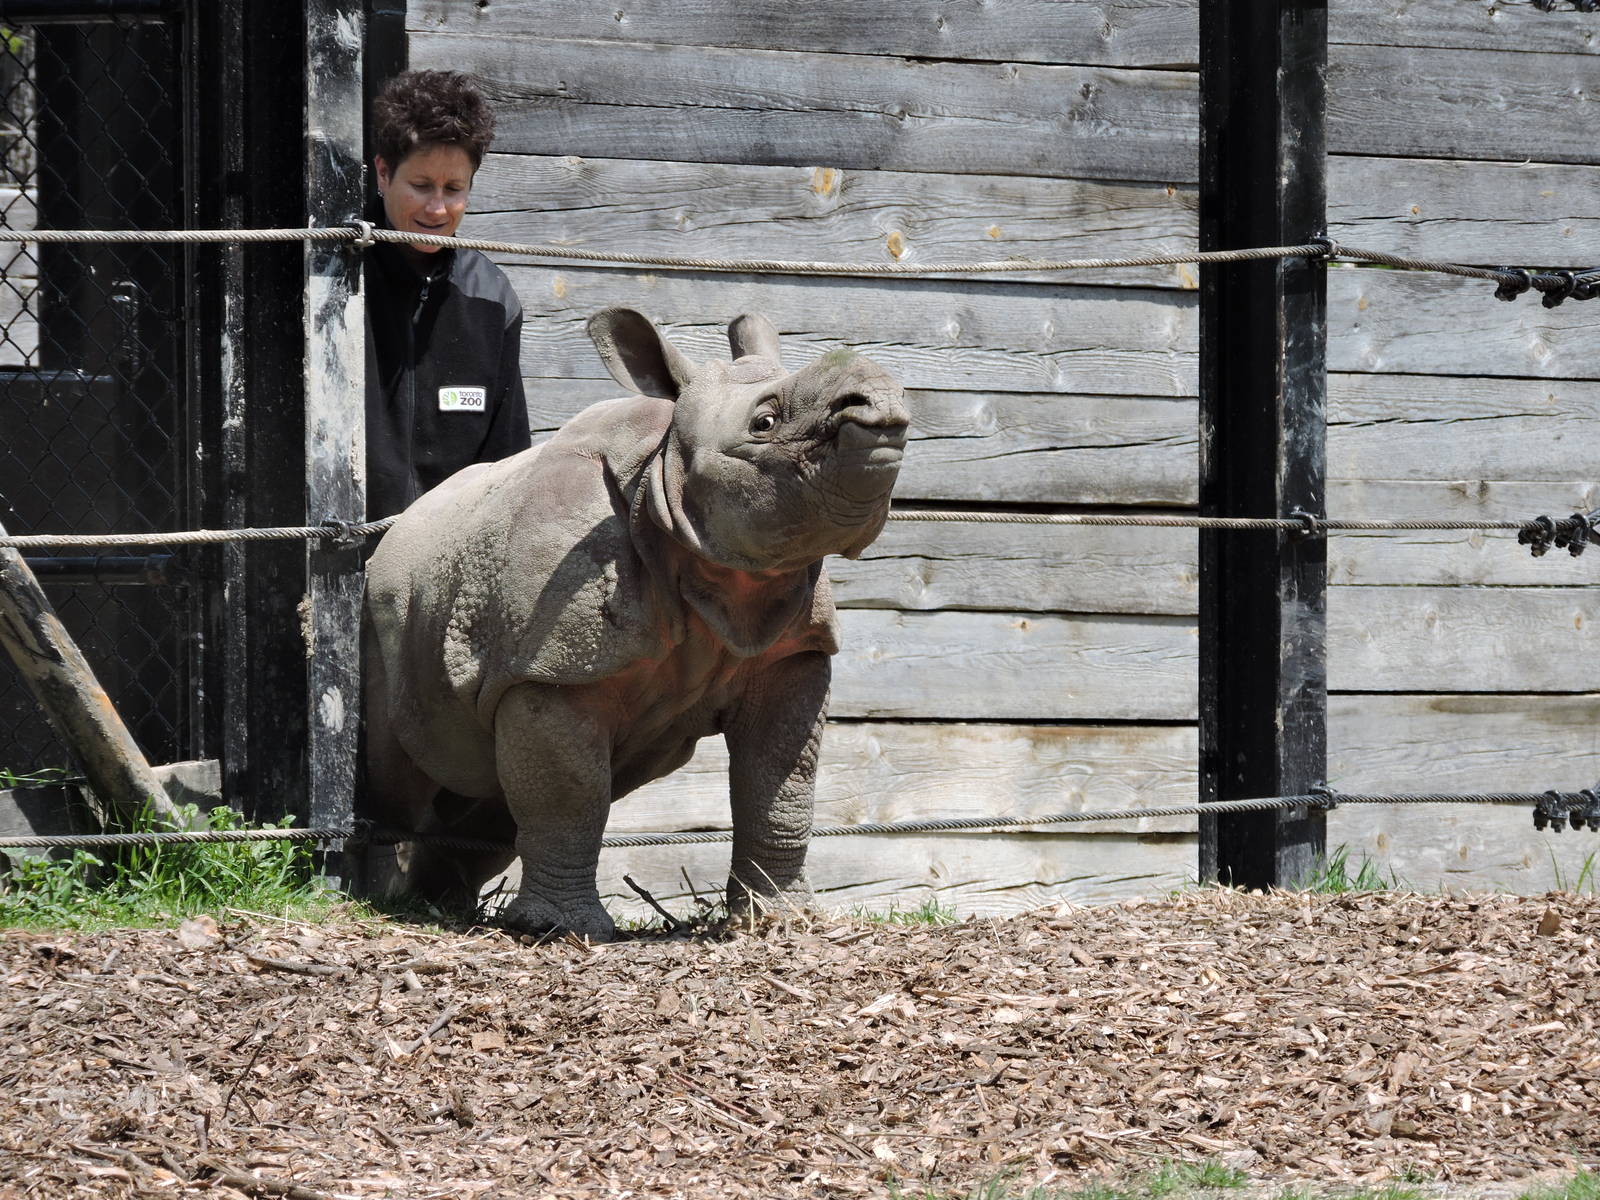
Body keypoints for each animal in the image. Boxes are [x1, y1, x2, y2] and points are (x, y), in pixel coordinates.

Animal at [362, 307, 909, 940]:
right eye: (765, 422)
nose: (881, 403)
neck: (662, 474)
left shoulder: (794, 650)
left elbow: (780, 783)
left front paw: (780, 919)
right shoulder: (551, 667)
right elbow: (571, 795)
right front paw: (564, 931)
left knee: (490, 807)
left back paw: (440, 903)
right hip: (380, 611)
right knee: (392, 772)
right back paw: (370, 896)